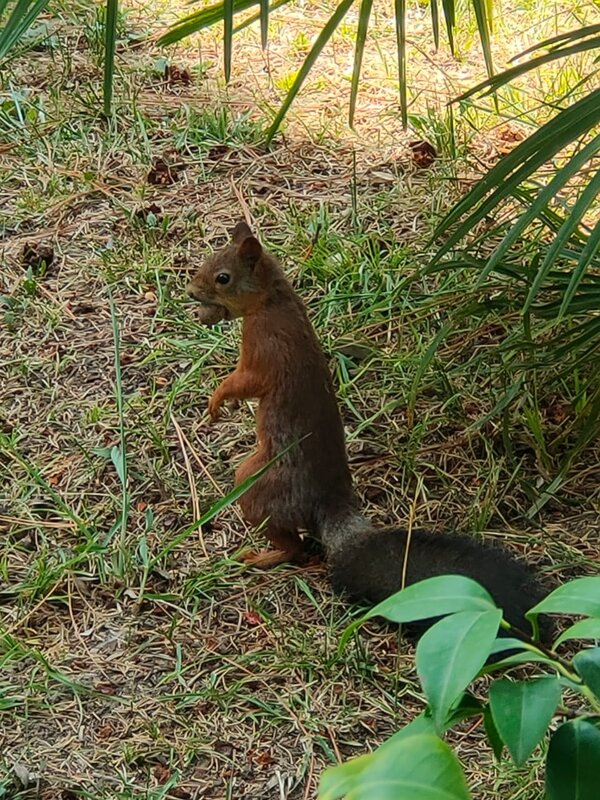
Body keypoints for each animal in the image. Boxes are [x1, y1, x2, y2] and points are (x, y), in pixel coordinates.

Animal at [186, 220, 552, 644]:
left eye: (223, 278)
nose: (191, 292)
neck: (274, 302)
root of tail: (332, 509)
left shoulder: (265, 348)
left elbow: (244, 381)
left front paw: (216, 400)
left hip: (259, 484)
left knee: (293, 545)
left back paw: (264, 556)